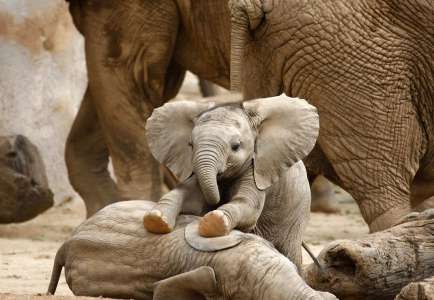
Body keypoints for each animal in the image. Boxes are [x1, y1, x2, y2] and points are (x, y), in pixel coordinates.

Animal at [144, 94, 318, 268]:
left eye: (236, 146)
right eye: (190, 145)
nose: (216, 202)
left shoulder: (258, 169)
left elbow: (248, 205)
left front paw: (214, 221)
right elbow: (188, 195)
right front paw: (155, 219)